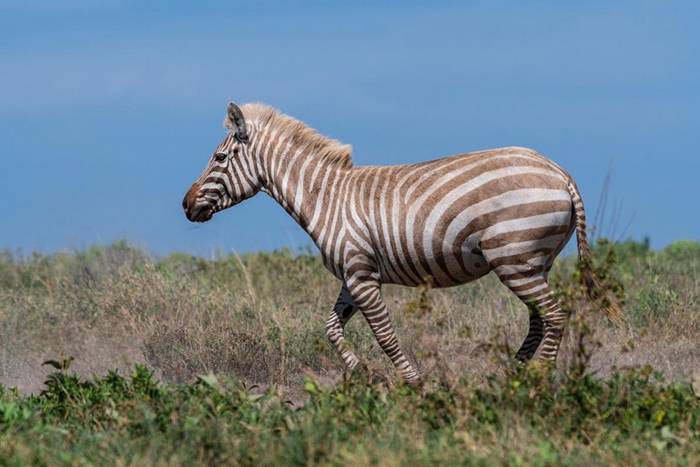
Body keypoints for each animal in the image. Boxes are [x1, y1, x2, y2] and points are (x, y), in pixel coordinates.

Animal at [183, 100, 620, 386]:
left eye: (219, 158)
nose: (186, 205)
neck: (325, 198)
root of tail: (559, 172)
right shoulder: (353, 274)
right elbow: (331, 328)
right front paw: (366, 374)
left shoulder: (361, 275)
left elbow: (385, 335)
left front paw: (413, 383)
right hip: (531, 262)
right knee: (539, 319)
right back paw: (514, 373)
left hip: (514, 258)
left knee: (556, 316)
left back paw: (538, 380)